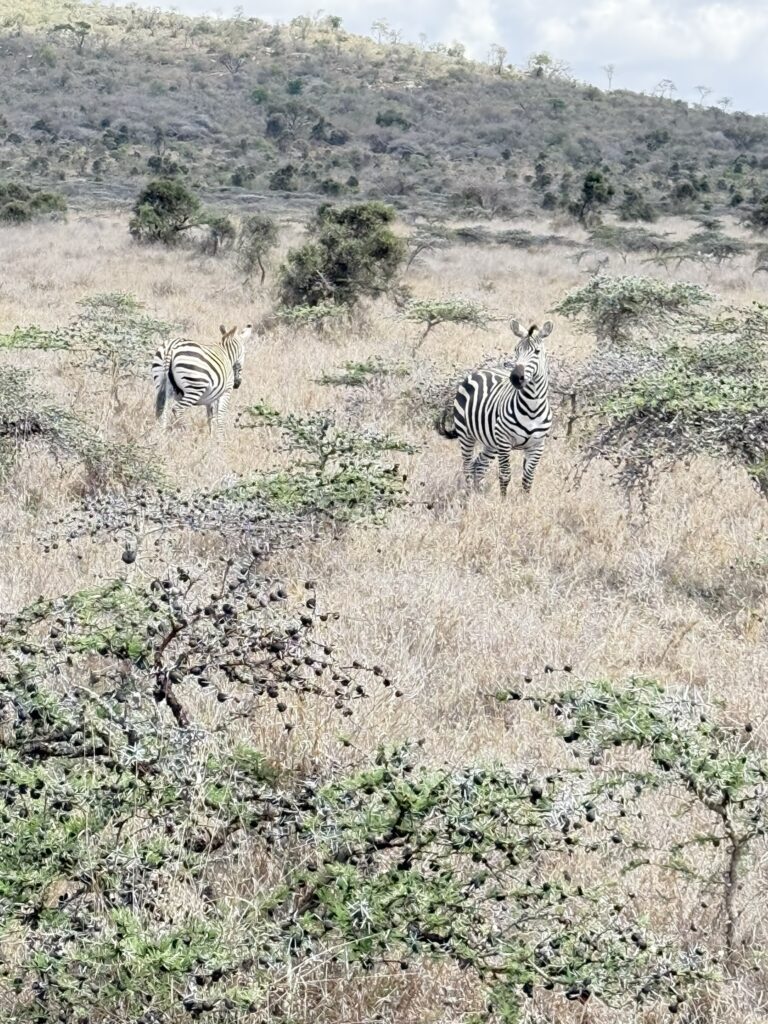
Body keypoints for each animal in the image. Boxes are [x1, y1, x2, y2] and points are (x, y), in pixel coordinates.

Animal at [436, 319, 554, 495]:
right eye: (516, 350)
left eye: (537, 351)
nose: (516, 378)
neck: (532, 407)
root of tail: (483, 370)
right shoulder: (504, 441)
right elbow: (505, 475)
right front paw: (503, 501)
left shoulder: (537, 445)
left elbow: (528, 480)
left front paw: (524, 501)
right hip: (466, 434)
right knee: (468, 466)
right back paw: (470, 496)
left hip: (490, 441)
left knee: (479, 464)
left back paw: (480, 495)